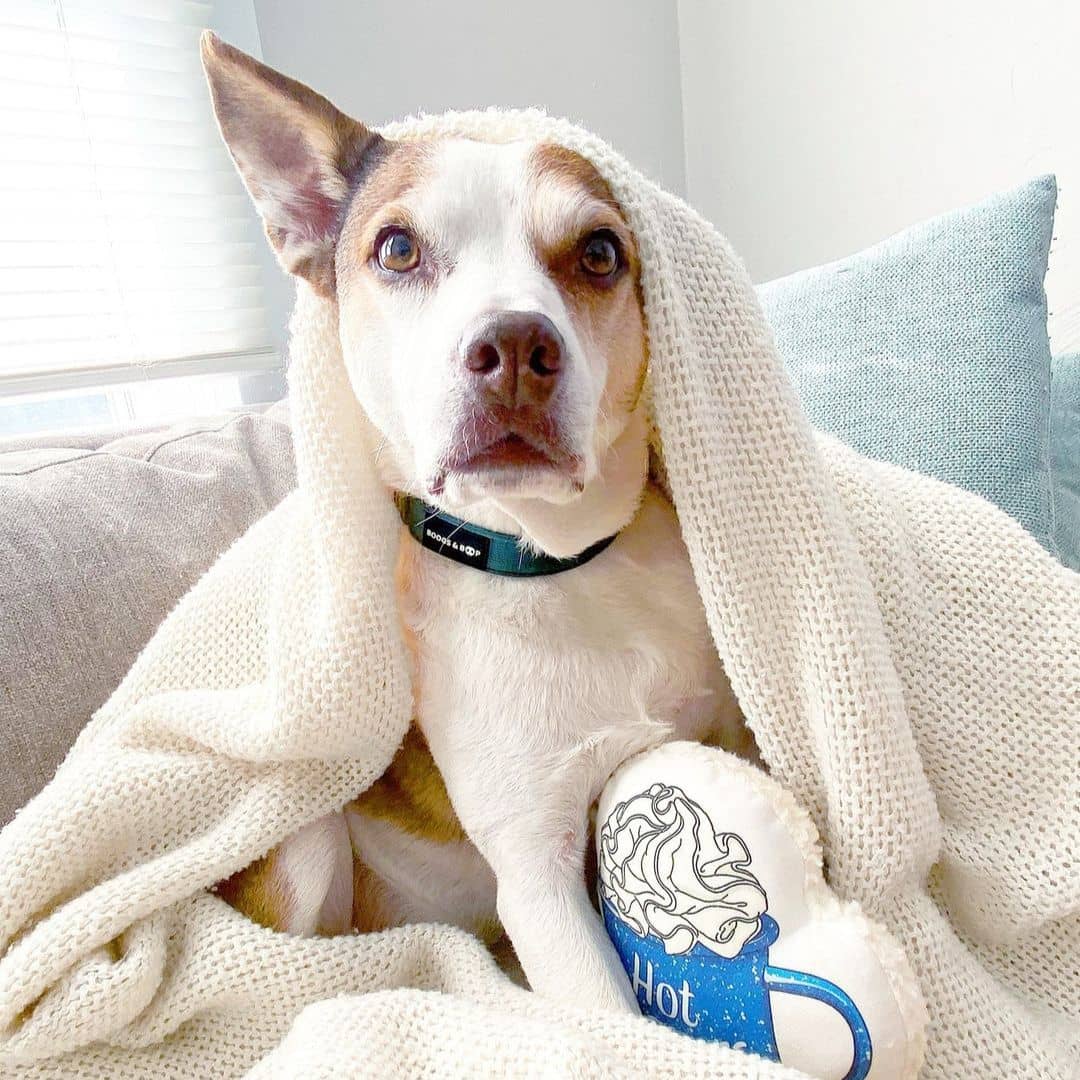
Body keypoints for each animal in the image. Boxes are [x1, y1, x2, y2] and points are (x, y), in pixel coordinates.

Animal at [200, 33, 751, 1010]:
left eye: (601, 252)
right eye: (396, 248)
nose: (516, 349)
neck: (559, 562)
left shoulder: (722, 733)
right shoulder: (537, 873)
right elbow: (615, 1021)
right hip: (299, 836)